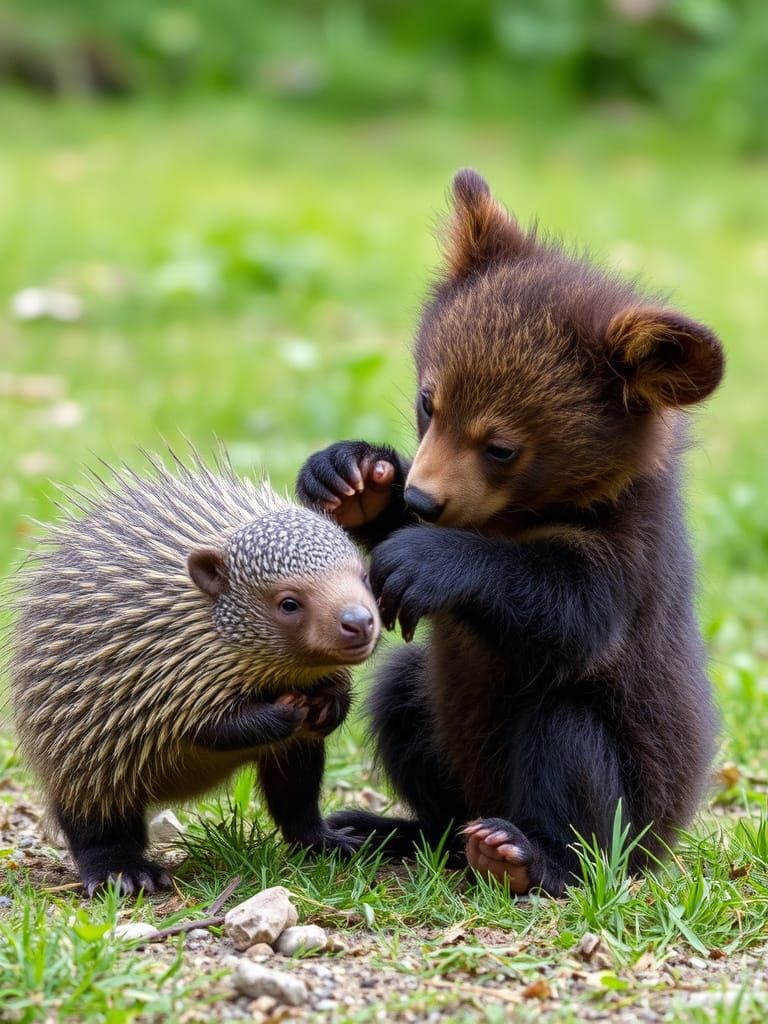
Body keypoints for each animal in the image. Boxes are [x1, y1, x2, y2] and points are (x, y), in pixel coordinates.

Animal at [296, 169, 724, 896]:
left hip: (630, 805)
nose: (421, 496)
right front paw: (352, 478)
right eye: (428, 402)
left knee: (564, 733)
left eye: (501, 447)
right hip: (439, 724)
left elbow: (572, 606)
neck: (537, 507)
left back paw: (524, 853)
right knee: (404, 695)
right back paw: (391, 831)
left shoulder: (632, 549)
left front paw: (425, 559)